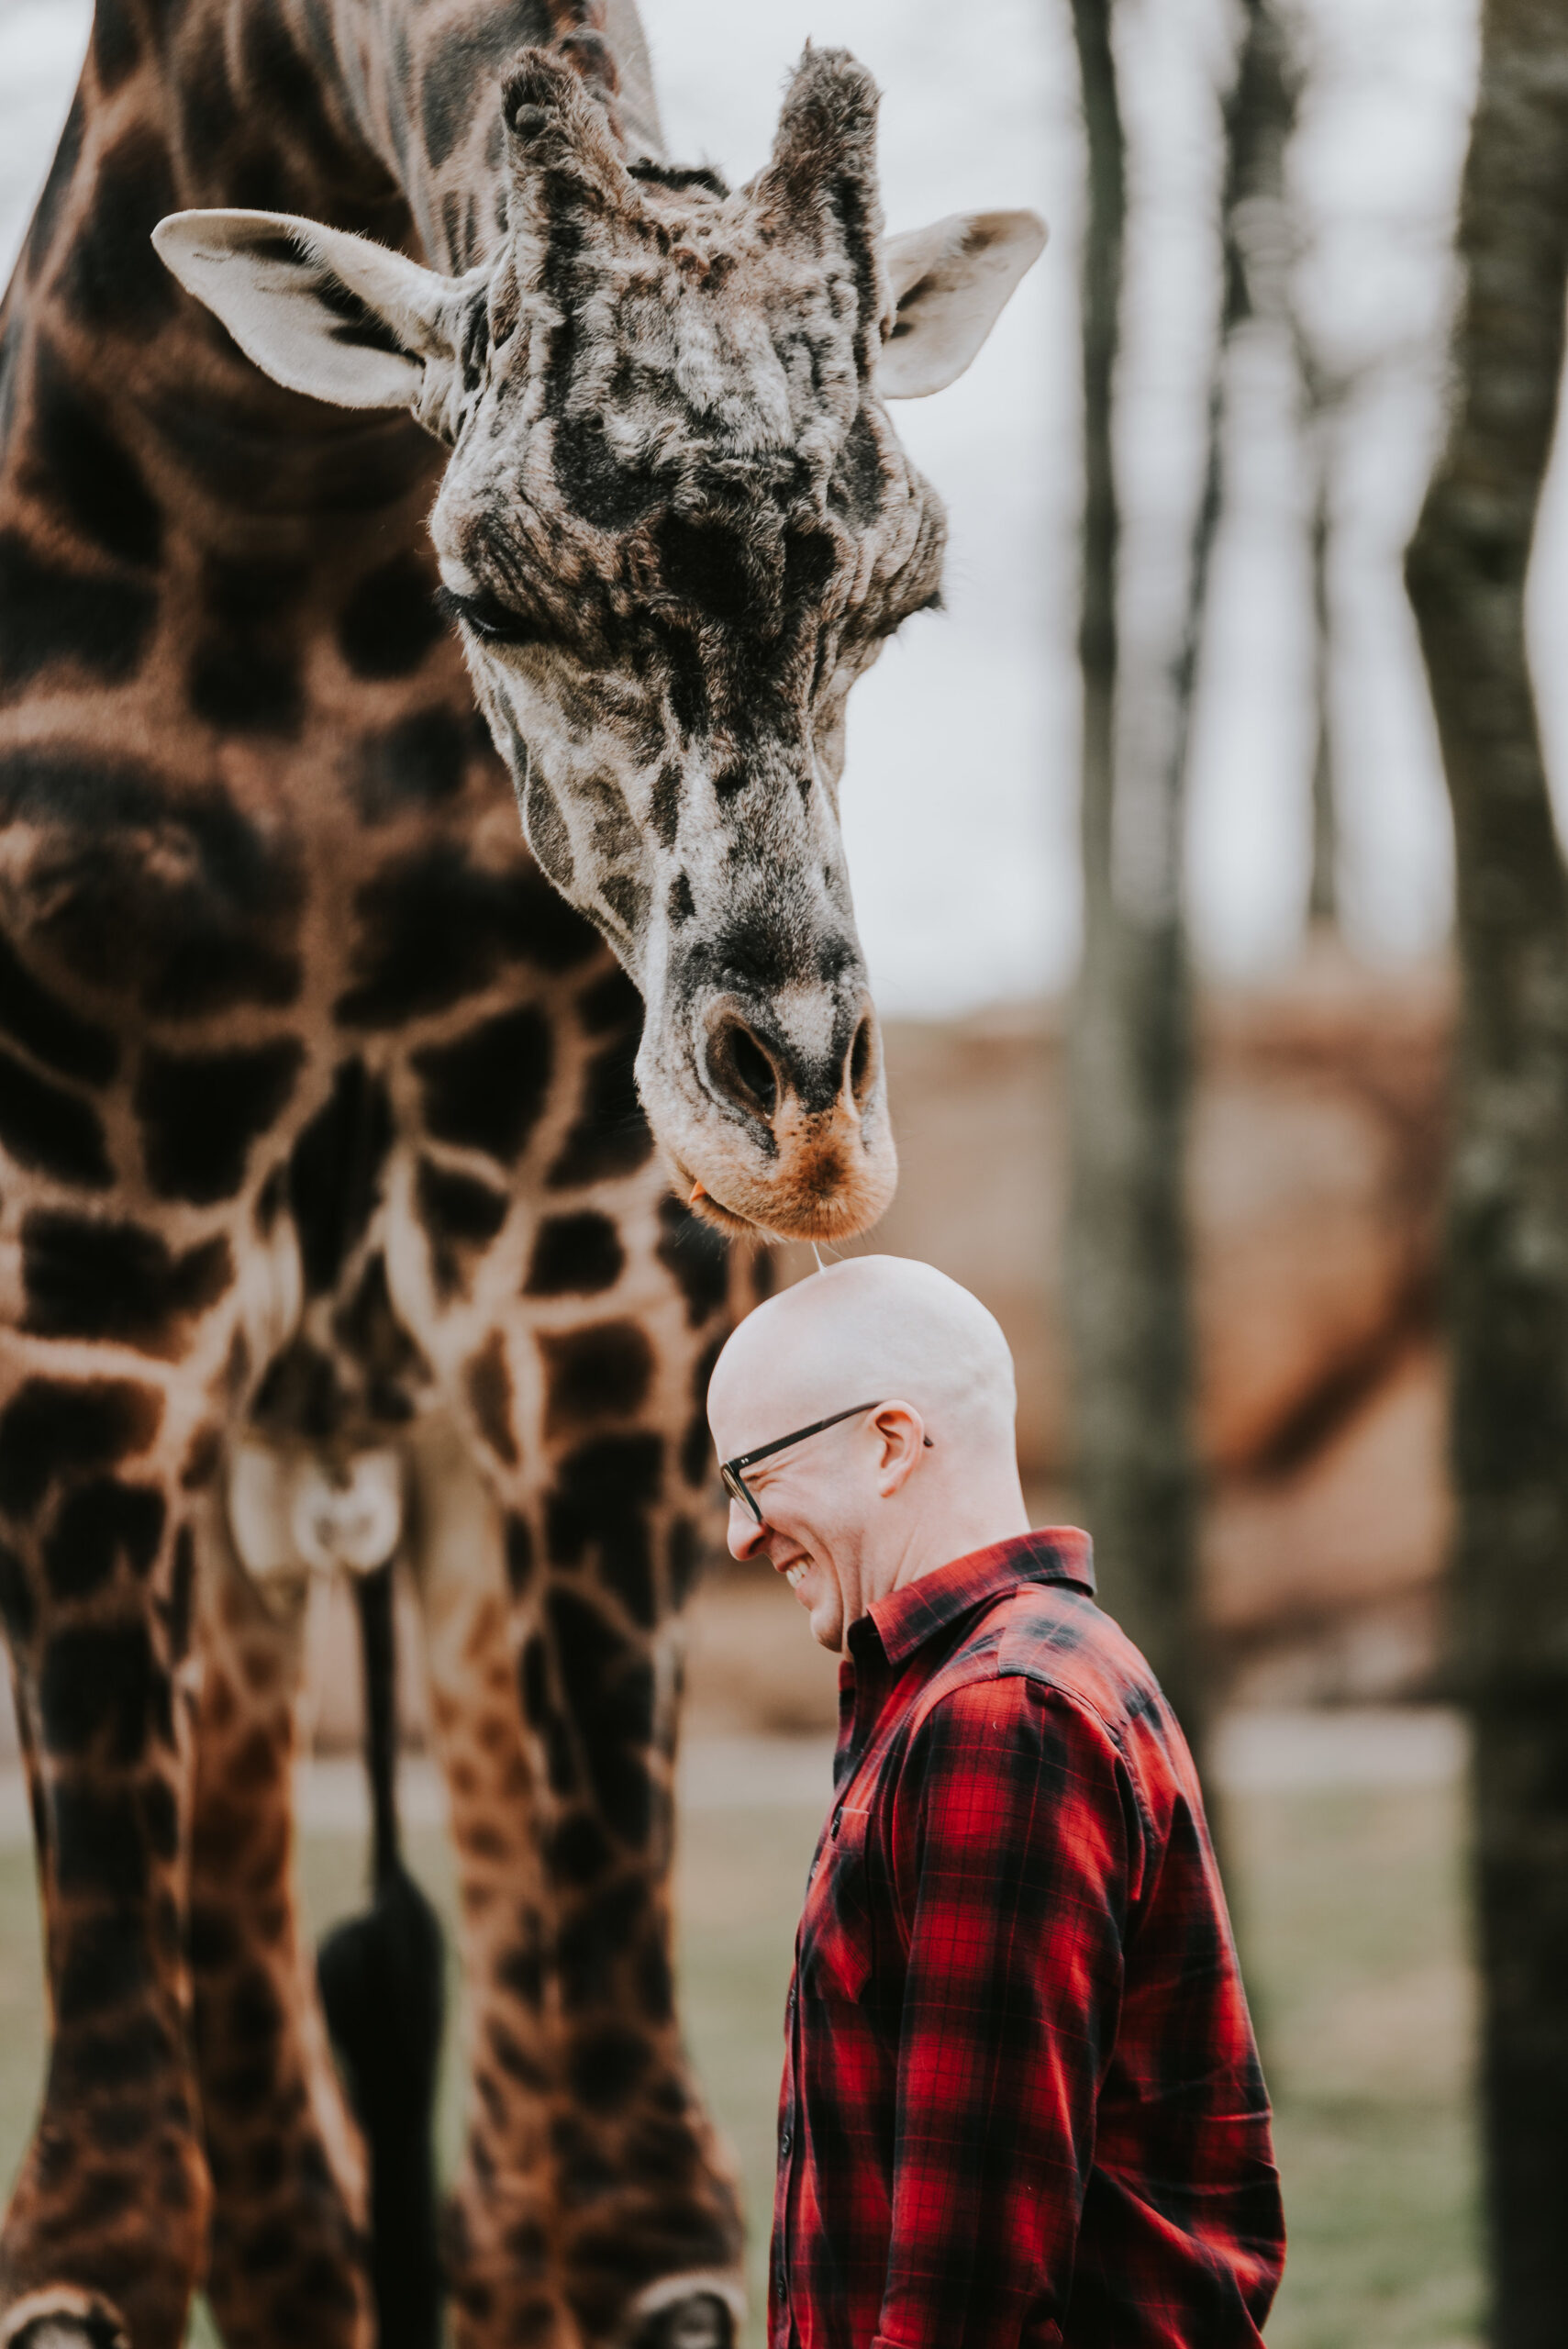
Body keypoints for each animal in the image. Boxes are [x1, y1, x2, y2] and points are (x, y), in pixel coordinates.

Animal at [0, 0, 1047, 2339]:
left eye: (906, 593)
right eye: (491, 584)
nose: (803, 1136)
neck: (277, 511)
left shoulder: (588, 1293)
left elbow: (638, 2219)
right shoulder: (87, 1299)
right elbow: (104, 2230)